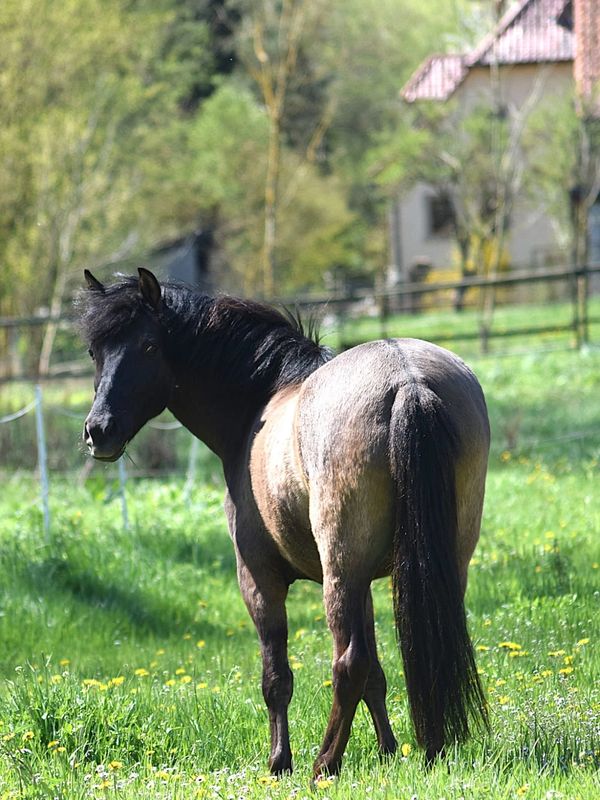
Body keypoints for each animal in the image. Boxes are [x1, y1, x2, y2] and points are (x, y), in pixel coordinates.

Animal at [78, 268, 490, 777]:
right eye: (94, 352)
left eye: (150, 346)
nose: (99, 431)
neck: (264, 401)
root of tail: (408, 382)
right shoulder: (366, 585)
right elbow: (377, 675)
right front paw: (389, 751)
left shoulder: (259, 578)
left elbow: (277, 678)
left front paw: (279, 763)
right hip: (434, 565)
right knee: (425, 647)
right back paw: (432, 750)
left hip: (340, 574)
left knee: (346, 665)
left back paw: (324, 764)